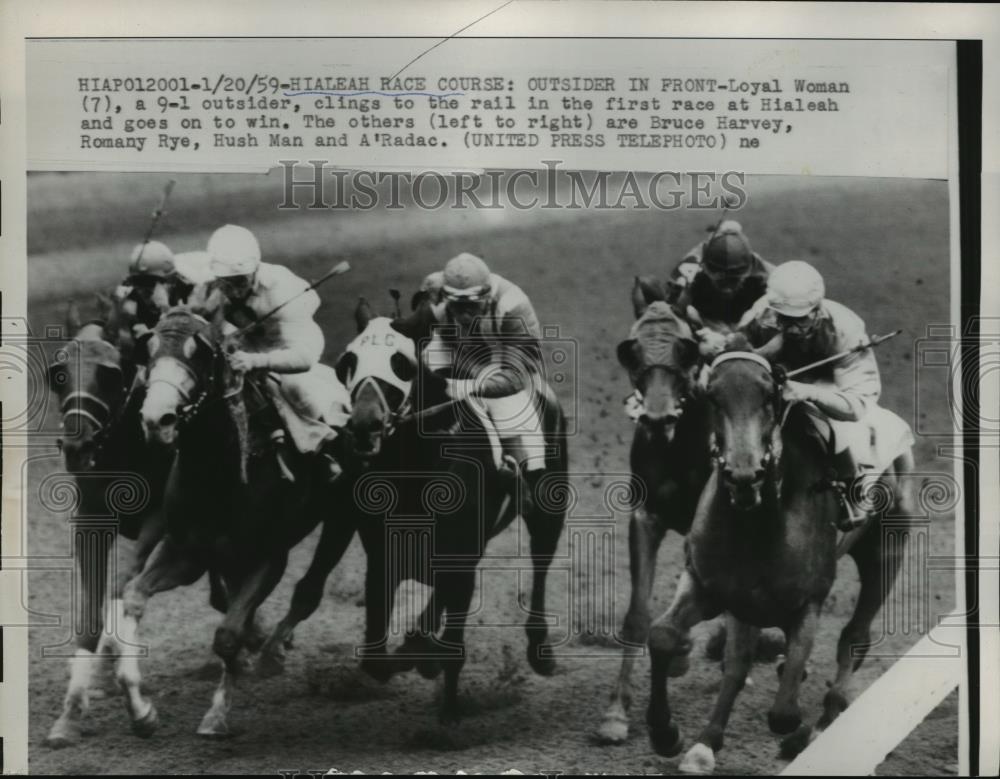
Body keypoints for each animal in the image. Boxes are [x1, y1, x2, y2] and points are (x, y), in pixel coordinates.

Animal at [648, 342, 916, 772]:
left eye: (769, 396)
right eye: (712, 396)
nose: (744, 475)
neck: (756, 524)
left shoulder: (808, 601)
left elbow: (784, 714)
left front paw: (799, 732)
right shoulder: (713, 587)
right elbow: (667, 637)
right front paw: (670, 734)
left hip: (886, 553)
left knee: (853, 638)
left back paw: (823, 725)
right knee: (739, 660)